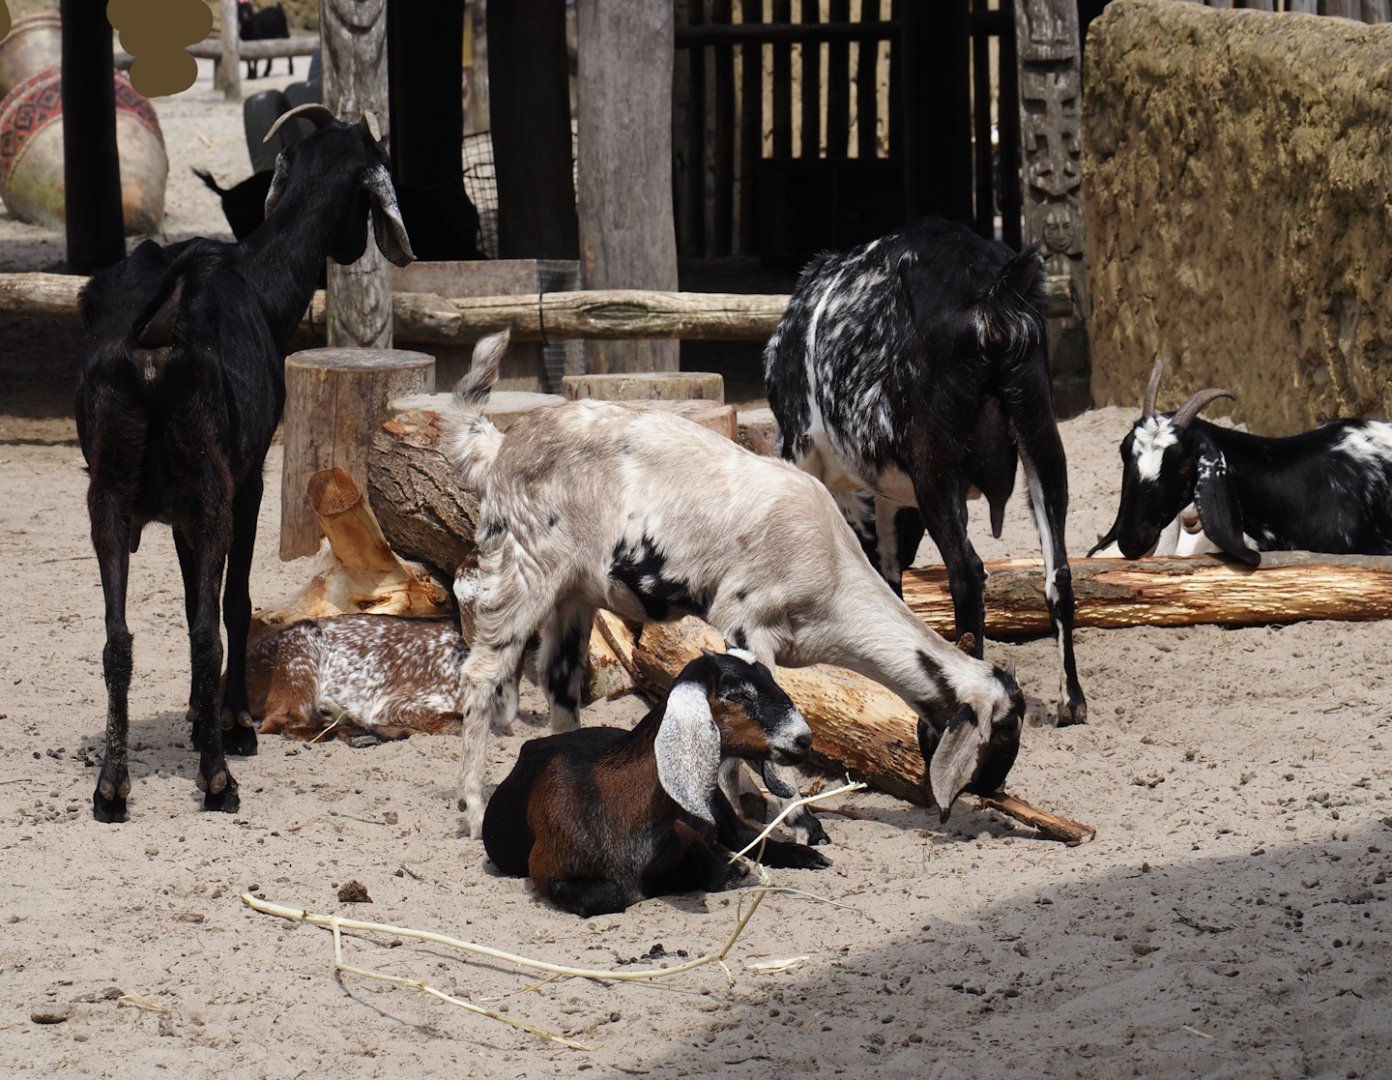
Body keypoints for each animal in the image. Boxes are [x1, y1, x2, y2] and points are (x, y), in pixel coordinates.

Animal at [77, 104, 414, 822]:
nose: (357, 250)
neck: (259, 285)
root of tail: (155, 338)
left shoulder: (177, 515)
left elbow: (185, 605)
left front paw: (198, 715)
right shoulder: (248, 479)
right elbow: (231, 604)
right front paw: (228, 724)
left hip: (109, 498)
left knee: (118, 640)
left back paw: (112, 788)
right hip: (212, 492)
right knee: (211, 627)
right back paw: (217, 780)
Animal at [442, 331, 1024, 841]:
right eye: (1005, 729)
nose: (995, 787)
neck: (835, 577)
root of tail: (500, 446)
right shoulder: (748, 622)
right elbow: (764, 726)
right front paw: (790, 820)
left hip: (574, 591)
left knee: (559, 681)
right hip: (524, 564)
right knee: (481, 673)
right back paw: (473, 808)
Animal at [482, 649, 828, 917]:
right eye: (738, 695)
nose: (803, 739)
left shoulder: (686, 834)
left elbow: (712, 864)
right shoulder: (547, 872)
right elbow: (608, 896)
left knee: (744, 834)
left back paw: (807, 856)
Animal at [763, 216, 1087, 726]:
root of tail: (990, 292)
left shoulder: (801, 453)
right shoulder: (893, 500)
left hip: (936, 472)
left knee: (968, 576)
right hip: (1043, 446)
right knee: (1059, 576)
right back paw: (1071, 699)